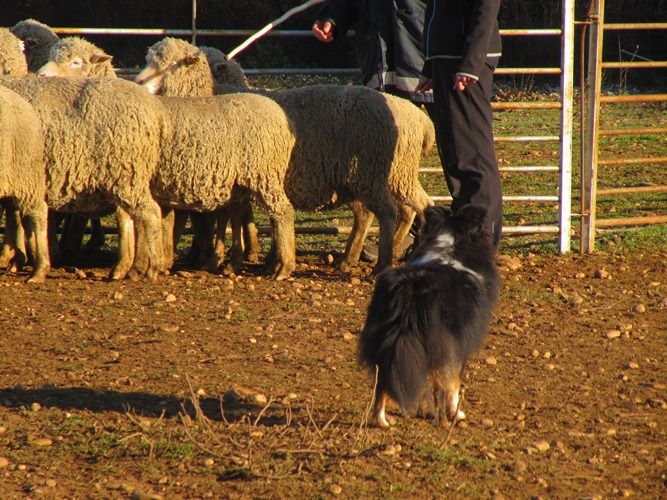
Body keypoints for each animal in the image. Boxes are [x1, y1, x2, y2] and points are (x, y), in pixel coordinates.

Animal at [138, 39, 436, 274]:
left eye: (170, 62)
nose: (139, 81)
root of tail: (419, 118)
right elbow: (236, 216)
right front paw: (247, 255)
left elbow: (218, 217)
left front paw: (219, 256)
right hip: (373, 177)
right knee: (396, 210)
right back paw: (356, 258)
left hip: (377, 173)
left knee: (396, 211)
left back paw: (386, 259)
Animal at [360, 205, 496, 428]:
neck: (451, 244)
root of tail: (411, 289)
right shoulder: (458, 346)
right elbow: (453, 384)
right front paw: (456, 413)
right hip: (441, 343)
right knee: (441, 384)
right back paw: (443, 421)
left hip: (384, 338)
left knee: (383, 381)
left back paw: (382, 420)